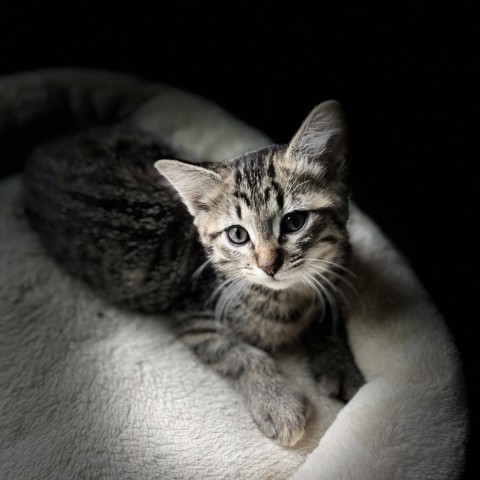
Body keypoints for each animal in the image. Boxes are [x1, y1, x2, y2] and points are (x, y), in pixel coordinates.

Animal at [21, 98, 360, 446]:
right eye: (238, 235)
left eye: (294, 222)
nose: (269, 267)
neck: (287, 298)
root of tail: (44, 145)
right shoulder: (195, 317)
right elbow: (240, 355)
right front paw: (277, 404)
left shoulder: (340, 266)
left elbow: (331, 313)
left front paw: (339, 363)